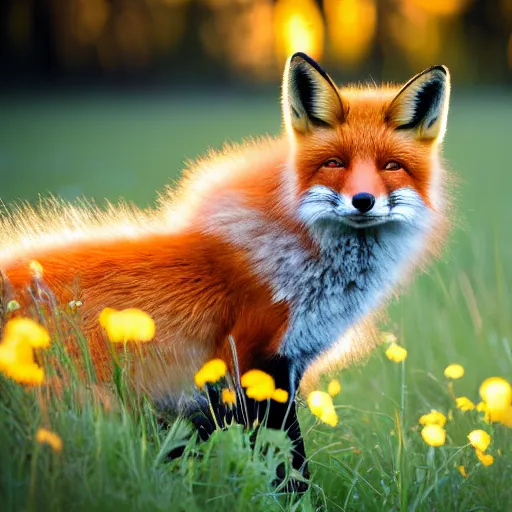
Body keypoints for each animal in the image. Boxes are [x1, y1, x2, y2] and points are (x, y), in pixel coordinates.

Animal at [0, 53, 450, 488]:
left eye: (390, 166)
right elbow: (289, 463)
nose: (363, 201)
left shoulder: (286, 365)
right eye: (334, 163)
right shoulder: (253, 360)